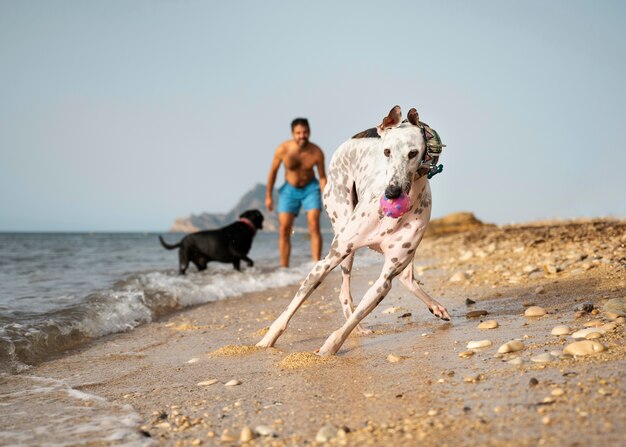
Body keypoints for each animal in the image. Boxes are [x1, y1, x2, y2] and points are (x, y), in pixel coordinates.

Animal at [256, 106, 450, 356]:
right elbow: (294, 304)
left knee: (404, 278)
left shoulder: (386, 277)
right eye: (386, 151)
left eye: (413, 153)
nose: (392, 192)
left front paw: (329, 347)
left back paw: (434, 308)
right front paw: (267, 340)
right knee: (345, 291)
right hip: (343, 237)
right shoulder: (328, 259)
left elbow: (359, 312)